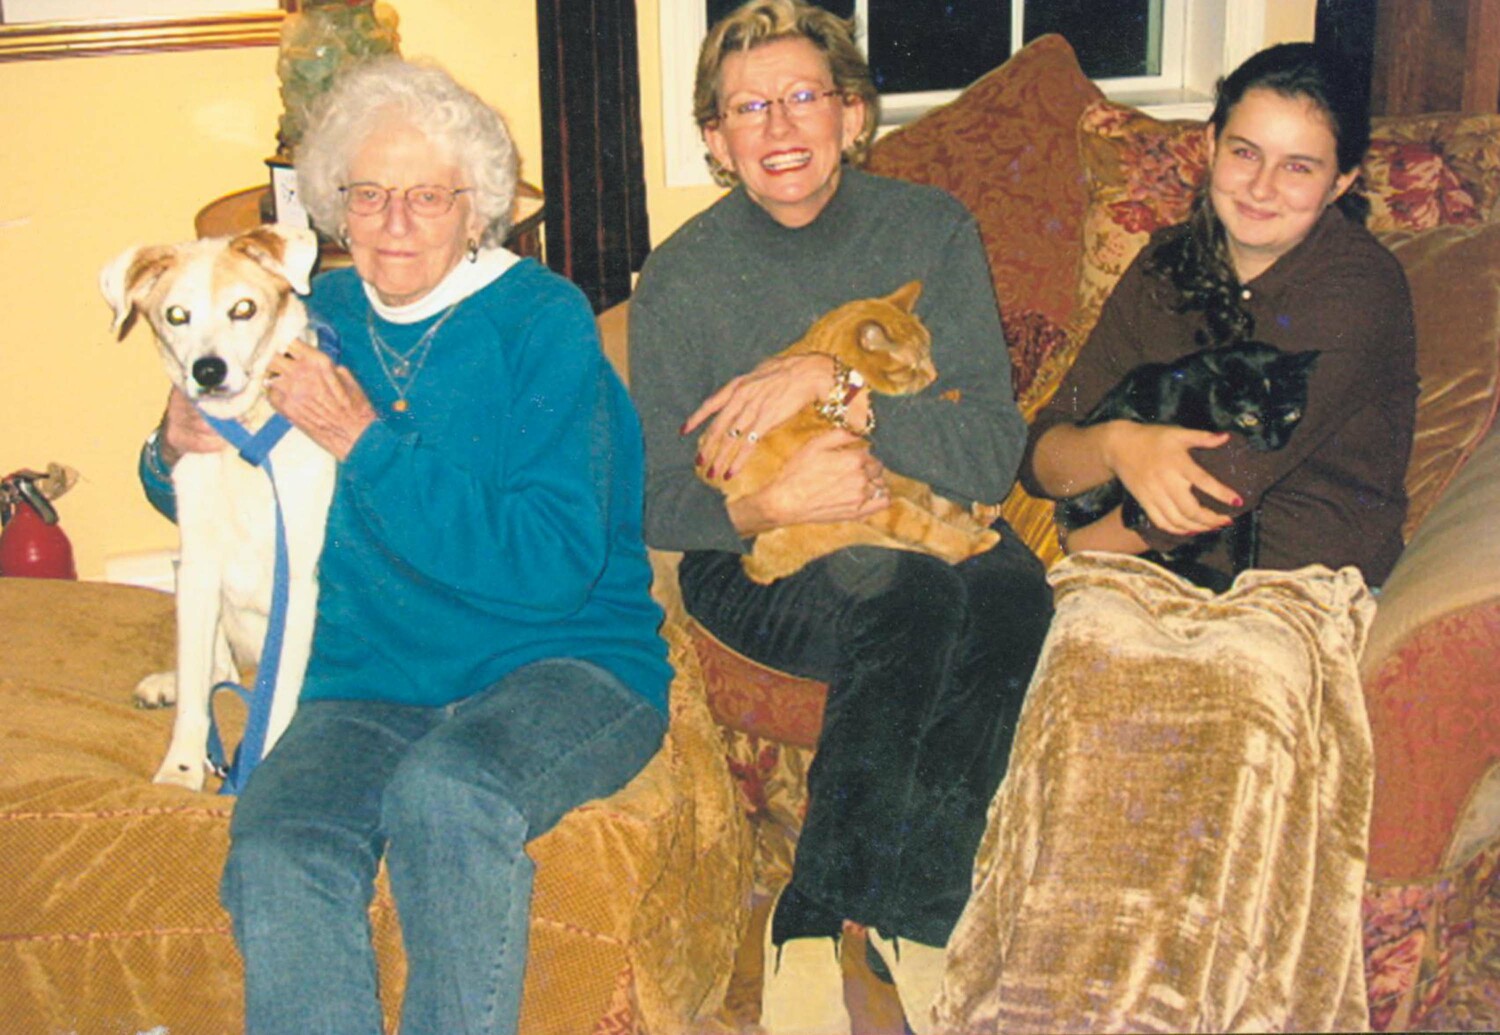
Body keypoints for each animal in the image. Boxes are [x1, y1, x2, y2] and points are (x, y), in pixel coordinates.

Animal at [105, 225, 337, 792]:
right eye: (176, 315)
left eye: (244, 308)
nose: (208, 371)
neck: (245, 440)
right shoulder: (199, 569)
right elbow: (195, 693)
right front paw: (181, 770)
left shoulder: (296, 581)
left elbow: (277, 700)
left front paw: (262, 759)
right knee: (218, 671)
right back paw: (166, 685)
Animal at [696, 277, 1002, 585]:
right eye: (913, 367)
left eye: (929, 353)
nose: (934, 374)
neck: (820, 407)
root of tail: (756, 567)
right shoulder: (870, 497)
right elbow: (927, 528)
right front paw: (972, 544)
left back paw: (983, 512)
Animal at [1062, 340, 1320, 588]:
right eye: (1250, 418)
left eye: (1291, 415)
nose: (1275, 442)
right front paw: (1133, 510)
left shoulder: (1243, 494)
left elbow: (1246, 538)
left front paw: (1245, 579)